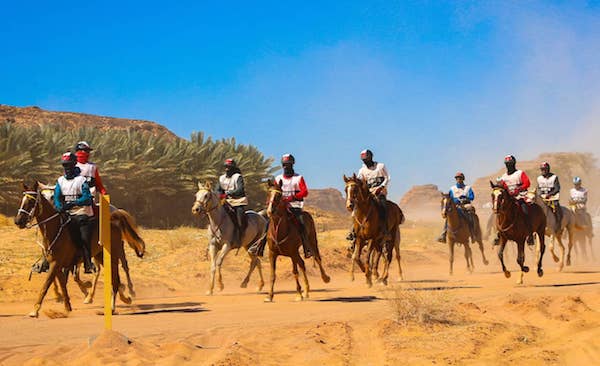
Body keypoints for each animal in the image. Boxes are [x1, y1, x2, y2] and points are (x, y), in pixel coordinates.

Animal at [14, 182, 146, 316]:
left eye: (31, 201)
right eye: (22, 200)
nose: (18, 221)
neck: (56, 230)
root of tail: (113, 218)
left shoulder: (57, 263)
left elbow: (46, 285)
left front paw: (35, 310)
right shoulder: (57, 264)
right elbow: (62, 283)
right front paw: (67, 305)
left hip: (114, 254)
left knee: (118, 274)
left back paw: (118, 301)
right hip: (100, 255)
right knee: (112, 277)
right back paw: (120, 298)